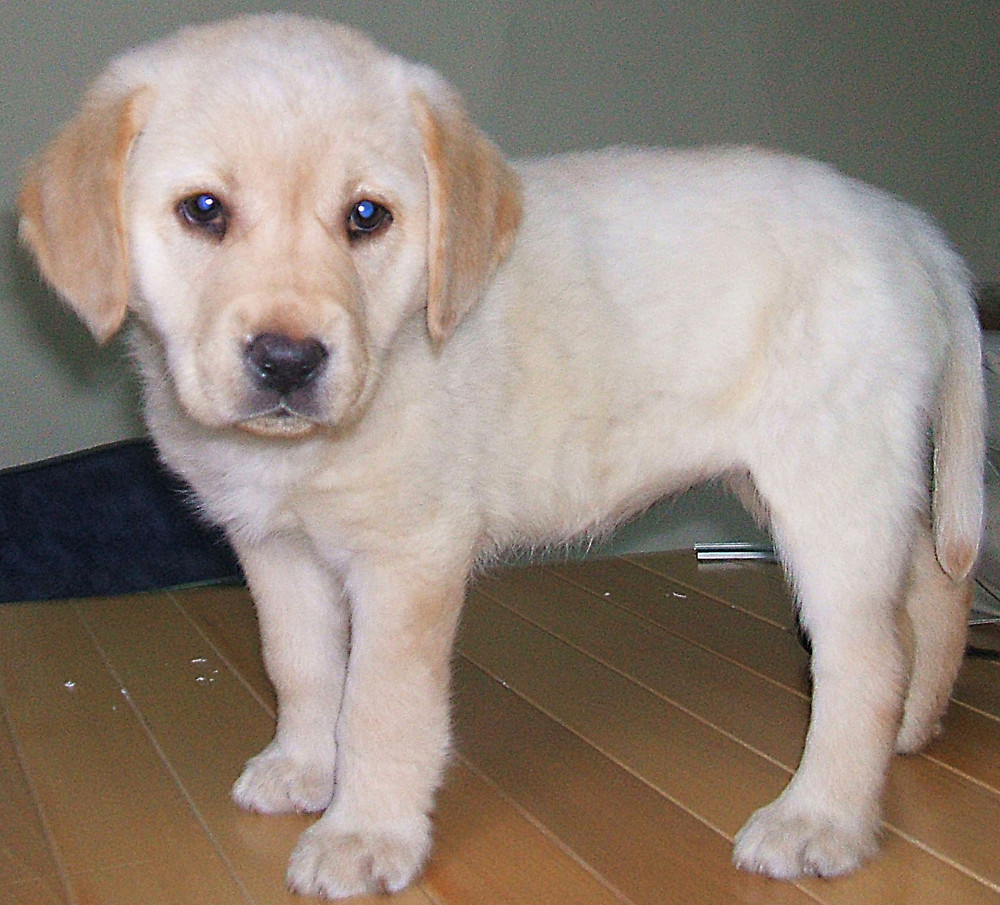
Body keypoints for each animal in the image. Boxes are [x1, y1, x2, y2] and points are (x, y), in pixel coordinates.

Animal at [17, 12, 984, 896]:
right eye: (204, 211)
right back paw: (913, 729)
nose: (288, 361)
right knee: (931, 592)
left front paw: (365, 832)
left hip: (826, 484)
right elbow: (299, 665)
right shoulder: (274, 548)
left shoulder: (408, 557)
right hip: (821, 480)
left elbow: (381, 704)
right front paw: (303, 765)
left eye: (366, 217)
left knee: (864, 658)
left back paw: (822, 818)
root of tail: (913, 232)